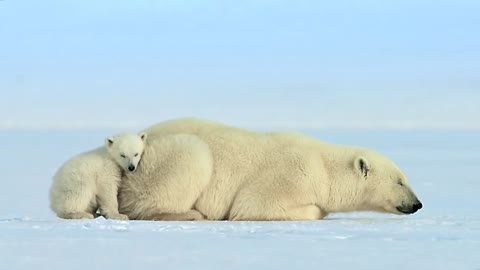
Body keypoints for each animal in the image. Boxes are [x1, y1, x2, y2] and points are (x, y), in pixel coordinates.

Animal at [118, 117, 422, 220]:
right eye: (400, 181)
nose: (417, 204)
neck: (324, 168)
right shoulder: (292, 173)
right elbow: (255, 204)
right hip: (155, 163)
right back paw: (192, 214)